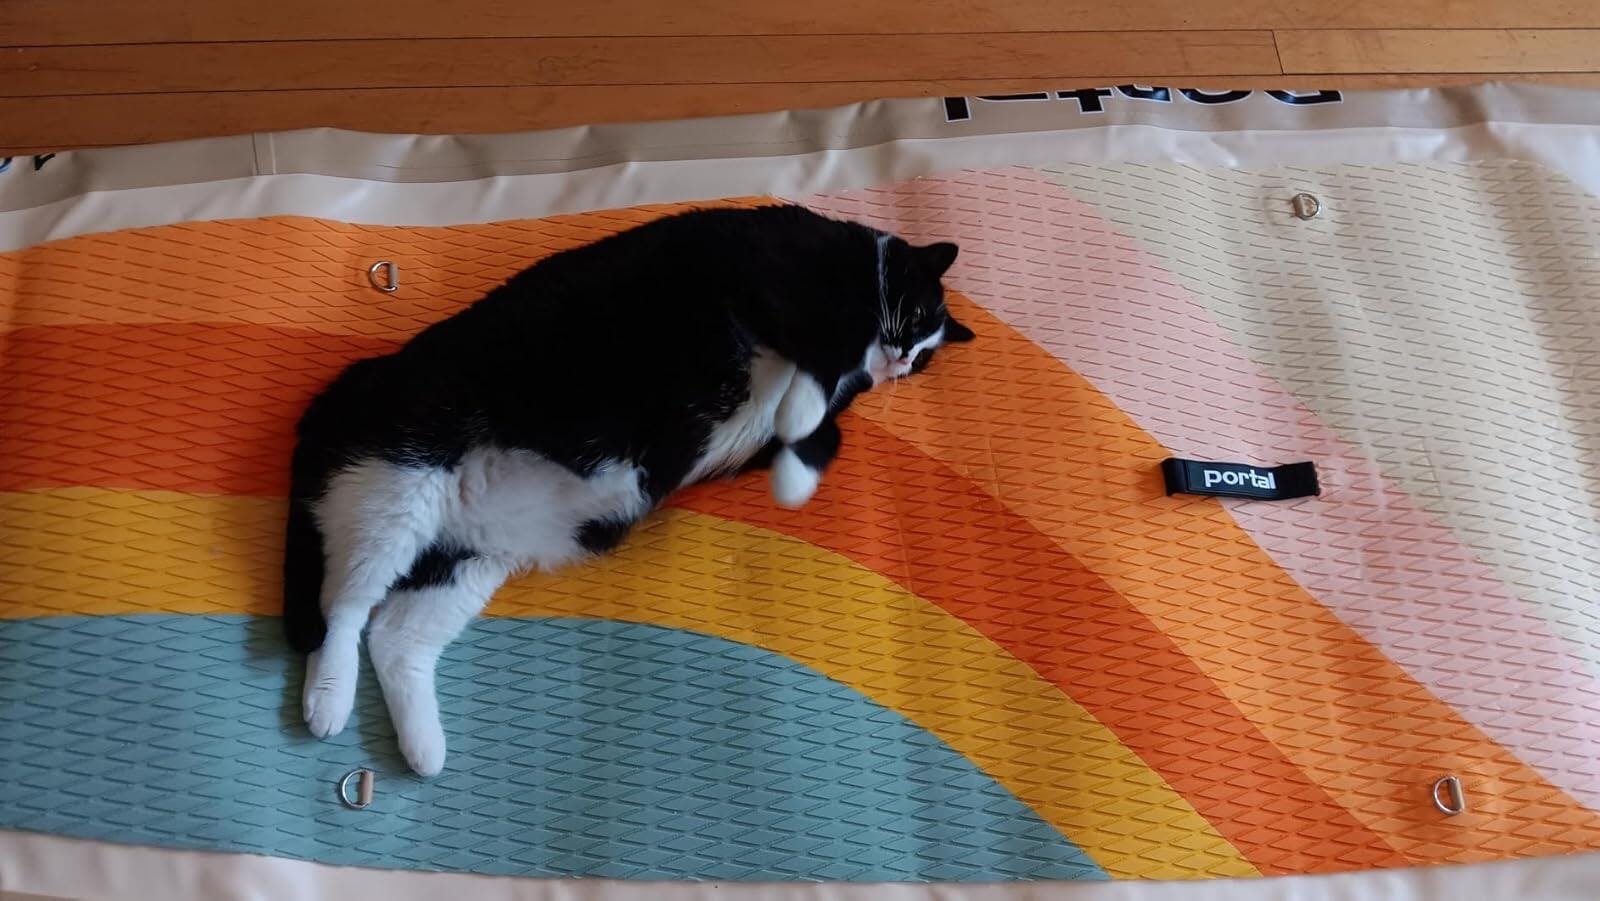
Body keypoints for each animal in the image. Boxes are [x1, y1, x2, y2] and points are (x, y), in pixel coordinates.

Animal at [281, 204, 974, 776]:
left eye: (925, 357)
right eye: (916, 318)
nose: (901, 360)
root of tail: (348, 385)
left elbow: (824, 431)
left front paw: (798, 468)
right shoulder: (768, 277)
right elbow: (824, 355)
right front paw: (810, 412)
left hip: (468, 559)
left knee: (395, 636)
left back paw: (425, 750)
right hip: (400, 485)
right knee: (342, 606)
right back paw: (328, 701)